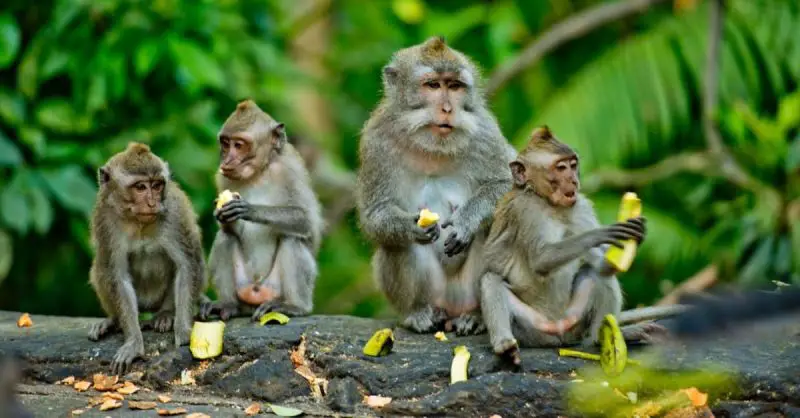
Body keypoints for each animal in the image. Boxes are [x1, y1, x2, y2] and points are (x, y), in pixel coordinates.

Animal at [87, 142, 206, 375]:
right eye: (140, 187)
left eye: (157, 185)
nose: (152, 203)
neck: (138, 222)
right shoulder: (105, 218)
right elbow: (117, 275)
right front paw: (133, 343)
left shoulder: (174, 213)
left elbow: (187, 264)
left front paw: (184, 331)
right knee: (100, 268)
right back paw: (112, 320)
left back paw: (166, 315)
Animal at [199, 100, 323, 322]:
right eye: (225, 143)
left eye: (239, 145)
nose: (227, 161)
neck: (259, 173)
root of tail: (256, 292)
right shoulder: (222, 178)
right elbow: (227, 230)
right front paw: (222, 215)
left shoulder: (289, 170)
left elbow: (306, 220)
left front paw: (249, 209)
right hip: (244, 286)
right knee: (225, 238)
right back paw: (228, 304)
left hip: (274, 287)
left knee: (292, 239)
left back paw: (295, 306)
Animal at [355, 36, 517, 335]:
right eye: (432, 85)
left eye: (454, 86)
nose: (447, 109)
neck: (432, 146)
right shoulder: (376, 141)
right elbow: (375, 214)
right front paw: (409, 226)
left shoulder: (486, 132)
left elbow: (509, 186)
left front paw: (466, 221)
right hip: (434, 292)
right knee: (394, 244)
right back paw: (418, 313)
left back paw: (476, 316)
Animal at [479, 126, 686, 364]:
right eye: (560, 168)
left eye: (573, 165)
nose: (573, 181)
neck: (549, 204)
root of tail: (558, 331)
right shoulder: (524, 210)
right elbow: (541, 259)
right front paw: (599, 234)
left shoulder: (581, 206)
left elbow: (603, 266)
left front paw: (638, 234)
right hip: (531, 328)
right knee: (491, 280)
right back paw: (505, 346)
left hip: (575, 320)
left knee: (597, 275)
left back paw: (601, 337)